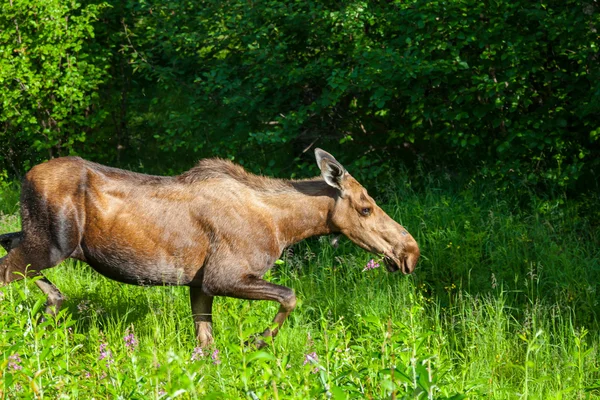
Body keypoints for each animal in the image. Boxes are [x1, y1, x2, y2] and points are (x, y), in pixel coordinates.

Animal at [0, 148, 420, 348]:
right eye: (365, 207)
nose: (410, 251)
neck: (285, 228)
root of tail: (24, 177)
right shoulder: (224, 276)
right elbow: (289, 295)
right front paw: (257, 339)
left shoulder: (199, 285)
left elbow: (204, 342)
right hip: (53, 244)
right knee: (8, 268)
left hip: (39, 238)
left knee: (8, 243)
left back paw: (53, 301)